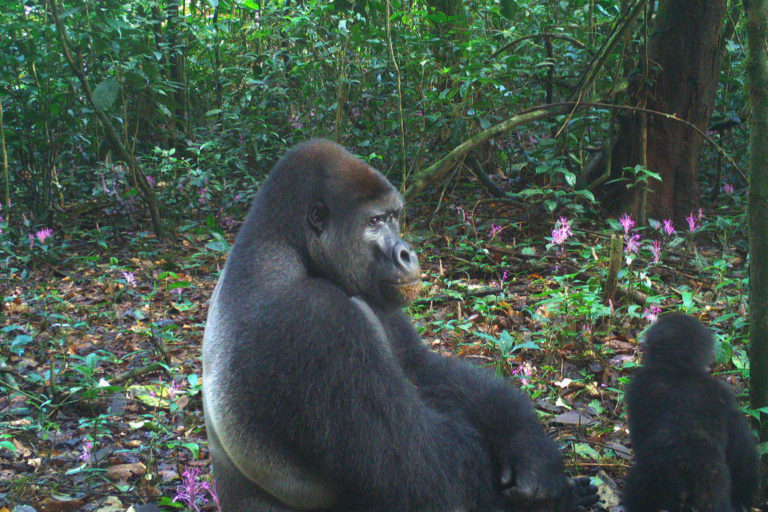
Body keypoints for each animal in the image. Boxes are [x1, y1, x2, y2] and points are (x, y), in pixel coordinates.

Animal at [202, 140, 592, 512]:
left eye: (393, 217)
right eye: (374, 222)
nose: (407, 253)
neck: (286, 245)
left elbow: (423, 367)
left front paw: (530, 446)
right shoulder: (316, 316)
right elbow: (428, 473)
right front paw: (558, 498)